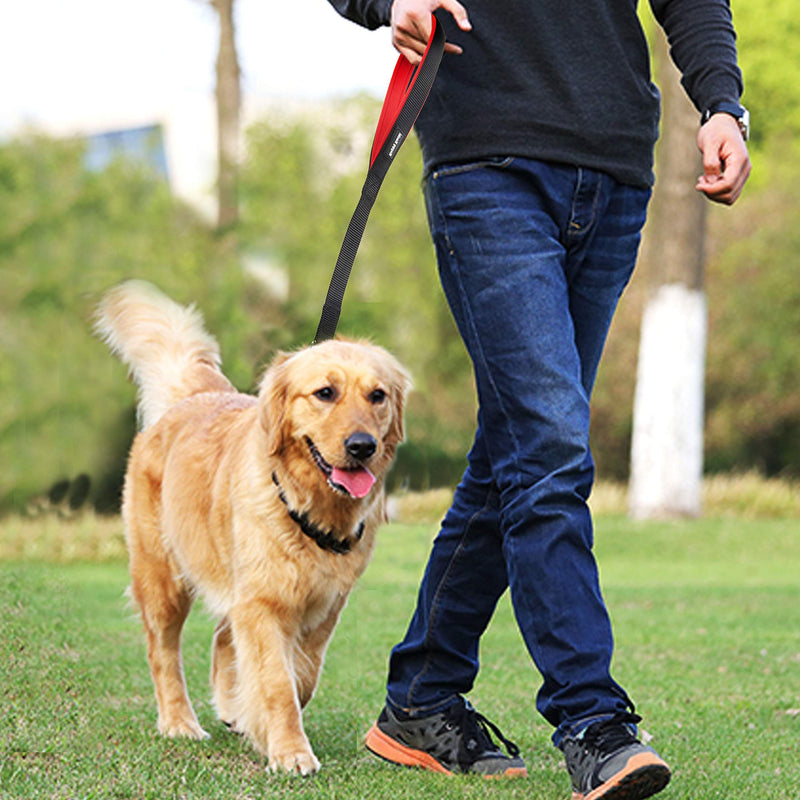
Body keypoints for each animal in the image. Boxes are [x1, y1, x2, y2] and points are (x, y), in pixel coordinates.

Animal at [96, 282, 410, 776]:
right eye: (325, 393)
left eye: (377, 395)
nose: (362, 446)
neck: (308, 510)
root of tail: (194, 396)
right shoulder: (263, 602)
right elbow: (278, 682)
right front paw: (290, 751)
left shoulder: (325, 606)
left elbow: (301, 676)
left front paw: (254, 716)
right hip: (162, 578)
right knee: (163, 653)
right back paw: (179, 722)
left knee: (225, 635)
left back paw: (230, 707)